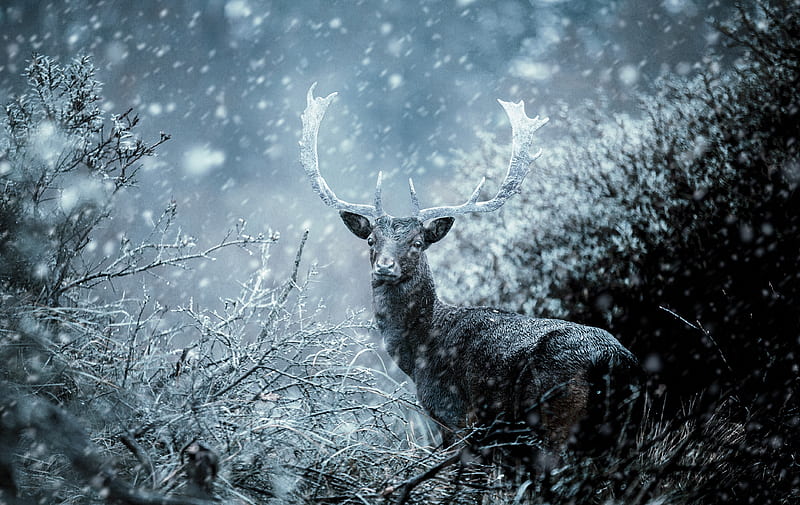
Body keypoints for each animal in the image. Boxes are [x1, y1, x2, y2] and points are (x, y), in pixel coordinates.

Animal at [300, 83, 644, 464]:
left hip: (556, 415)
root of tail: (612, 360)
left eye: (418, 242)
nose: (385, 266)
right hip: (625, 429)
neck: (419, 352)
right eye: (372, 240)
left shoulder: (453, 415)